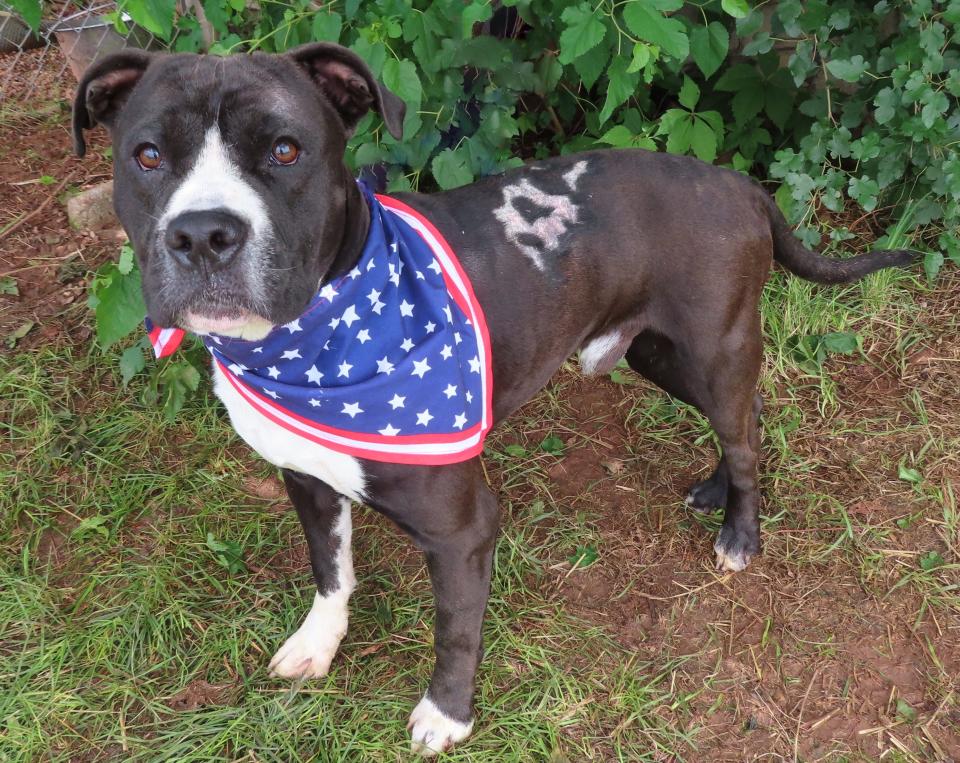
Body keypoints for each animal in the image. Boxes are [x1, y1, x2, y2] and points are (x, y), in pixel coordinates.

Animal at [73, 43, 916, 760]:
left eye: (285, 150)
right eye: (147, 155)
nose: (203, 234)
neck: (309, 338)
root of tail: (739, 184)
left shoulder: (461, 529)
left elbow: (456, 629)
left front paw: (447, 714)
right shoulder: (307, 479)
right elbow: (331, 570)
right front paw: (319, 641)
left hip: (713, 348)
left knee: (744, 431)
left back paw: (741, 531)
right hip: (658, 353)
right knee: (747, 417)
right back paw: (714, 489)